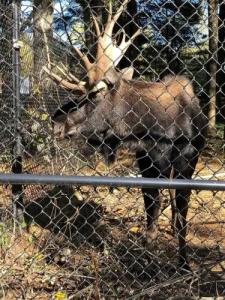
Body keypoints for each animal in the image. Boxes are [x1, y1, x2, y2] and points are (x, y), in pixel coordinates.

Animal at [46, 0, 207, 270]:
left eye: (95, 93)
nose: (55, 123)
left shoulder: (187, 160)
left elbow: (182, 214)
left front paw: (184, 262)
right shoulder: (146, 163)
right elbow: (151, 212)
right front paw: (147, 257)